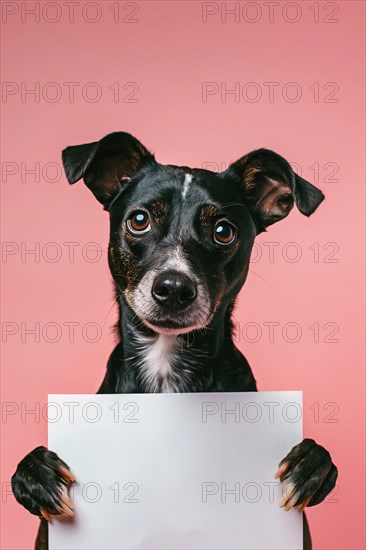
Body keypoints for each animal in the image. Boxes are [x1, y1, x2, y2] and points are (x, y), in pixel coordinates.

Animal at [11, 134, 338, 550]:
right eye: (139, 220)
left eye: (223, 231)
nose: (173, 288)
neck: (166, 365)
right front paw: (36, 475)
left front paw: (311, 464)